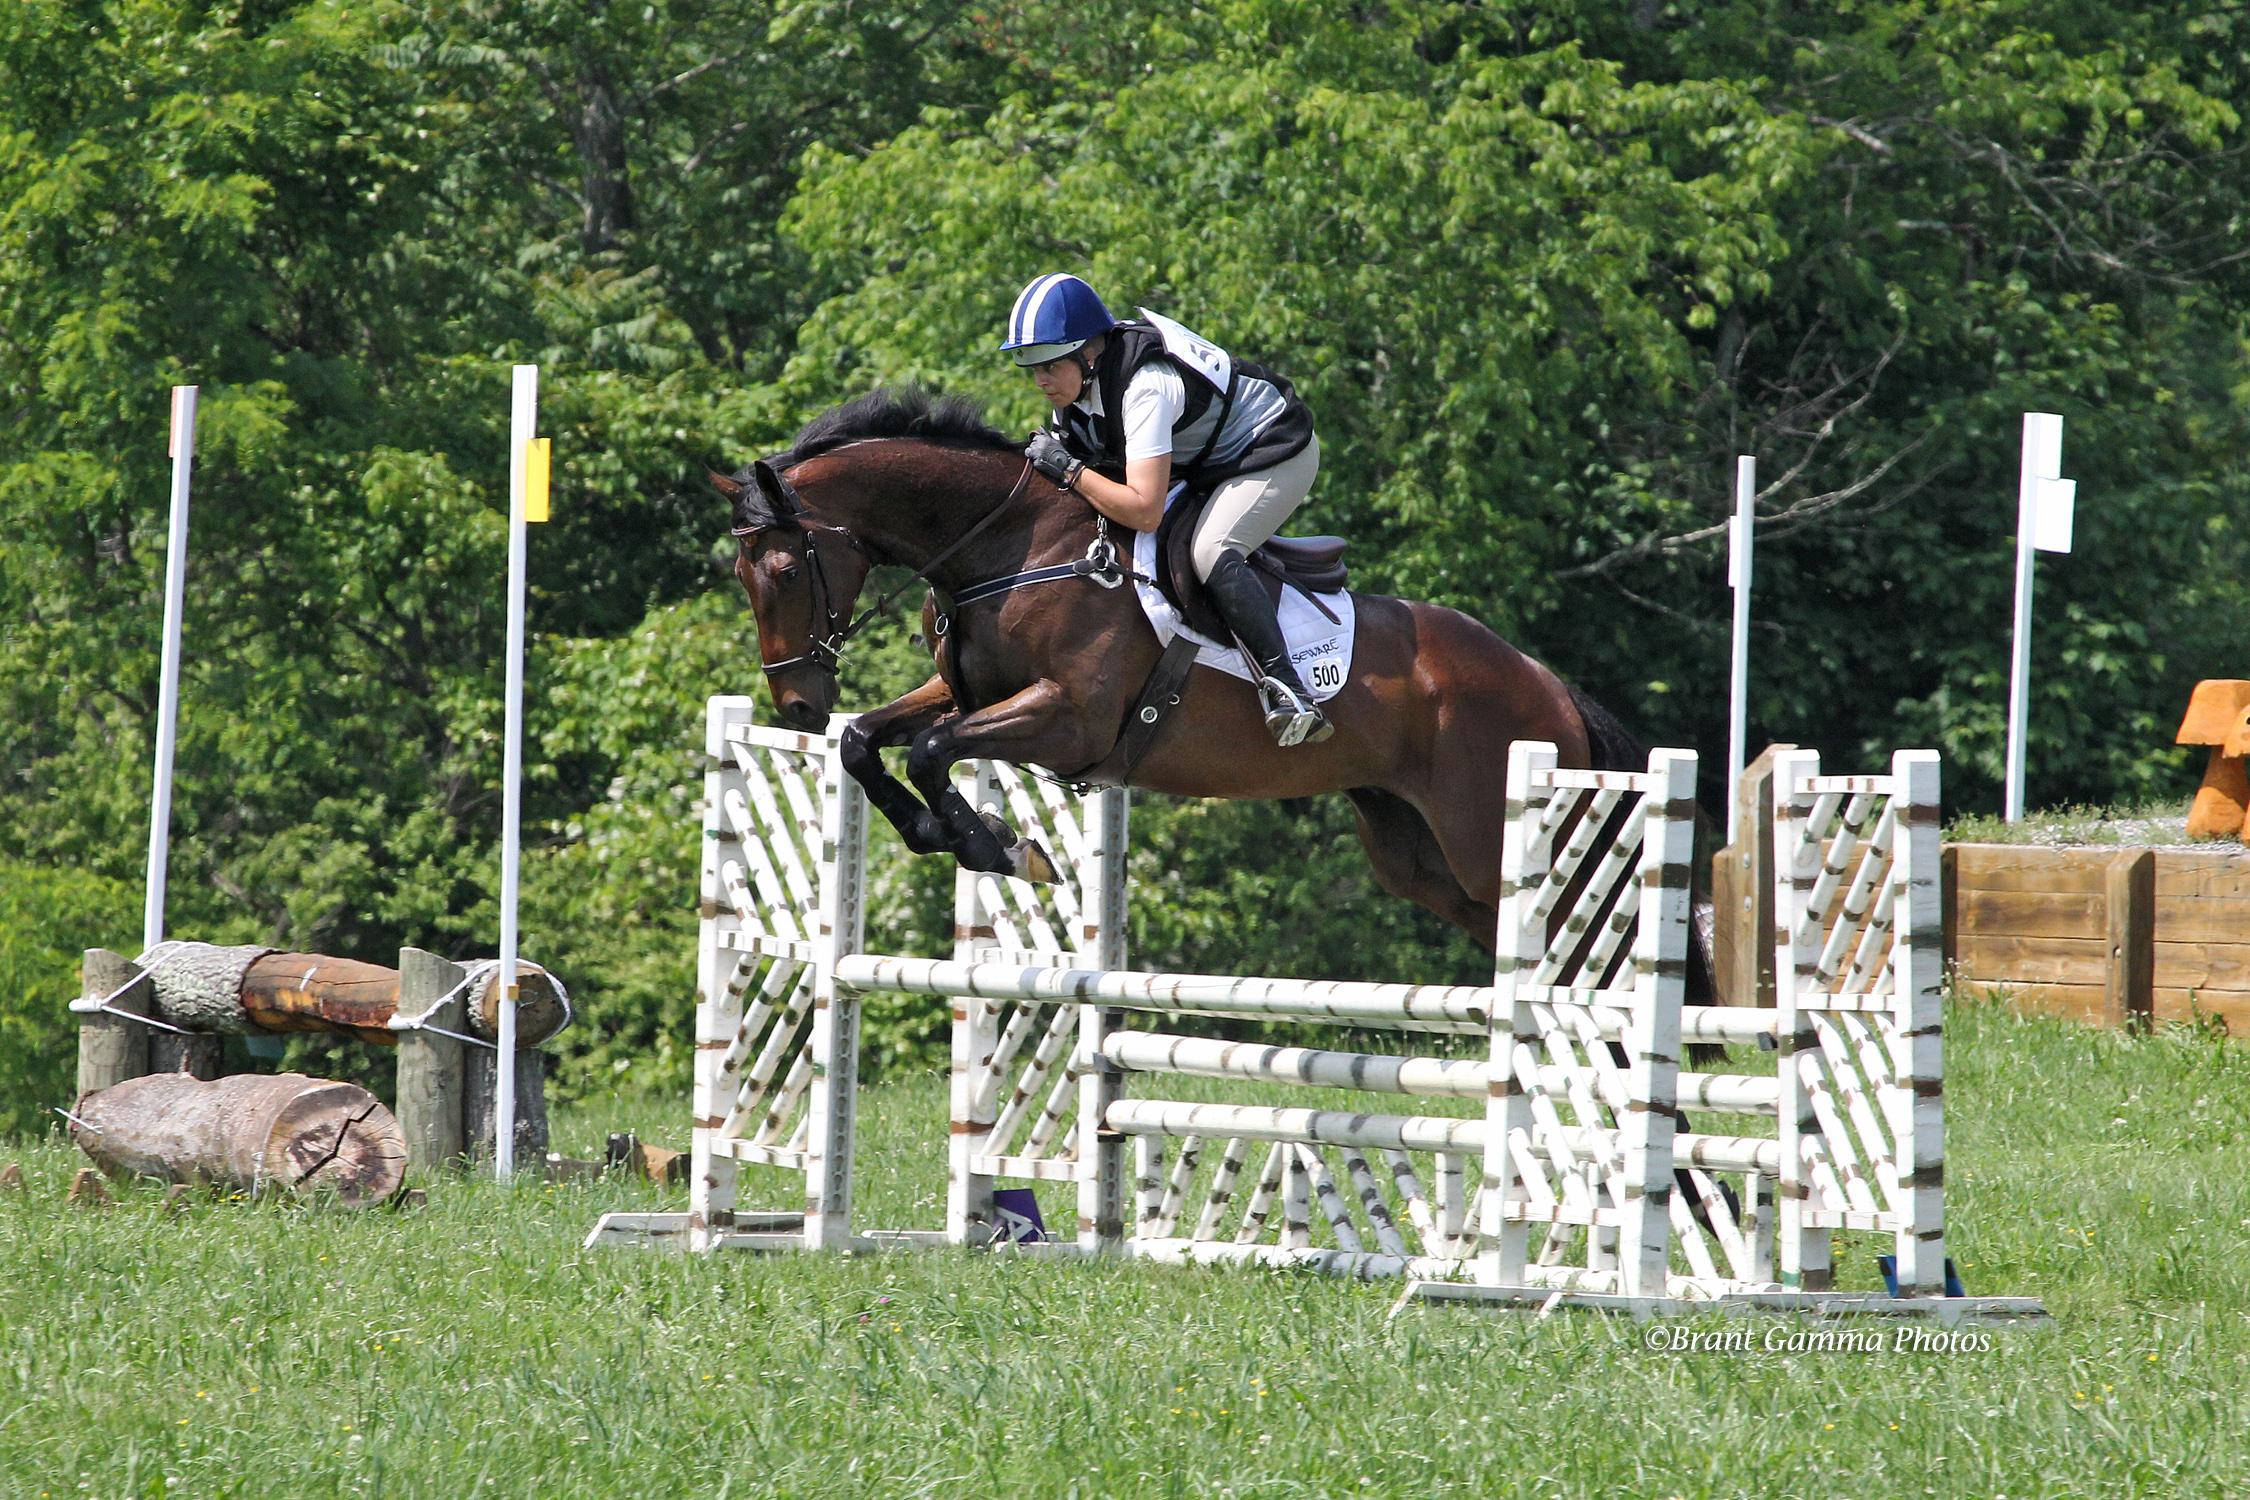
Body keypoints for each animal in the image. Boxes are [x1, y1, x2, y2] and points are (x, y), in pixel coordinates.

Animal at [720, 386, 1701, 976]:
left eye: (783, 570)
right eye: (741, 575)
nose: (796, 705)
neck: (1011, 547)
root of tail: (1545, 683)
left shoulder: (1068, 720)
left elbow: (928, 751)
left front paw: (995, 844)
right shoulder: (971, 696)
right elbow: (869, 742)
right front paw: (957, 833)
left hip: (1494, 842)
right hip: (1423, 861)